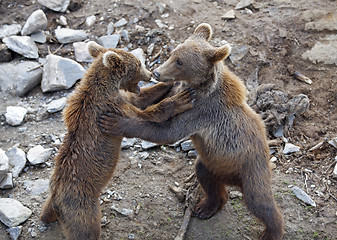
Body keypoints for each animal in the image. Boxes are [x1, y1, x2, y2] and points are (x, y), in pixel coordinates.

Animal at [39, 41, 193, 240]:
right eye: (139, 63)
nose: (150, 73)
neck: (107, 87)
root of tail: (58, 202)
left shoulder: (121, 97)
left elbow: (141, 97)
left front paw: (169, 83)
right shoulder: (110, 106)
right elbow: (144, 115)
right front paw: (181, 99)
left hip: (52, 198)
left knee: (45, 211)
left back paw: (46, 216)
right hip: (81, 209)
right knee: (87, 229)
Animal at [99, 23, 284, 240]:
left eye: (180, 62)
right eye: (172, 54)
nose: (157, 72)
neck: (200, 87)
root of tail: (233, 180)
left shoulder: (202, 111)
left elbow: (167, 131)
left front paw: (114, 121)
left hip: (250, 167)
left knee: (259, 201)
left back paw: (272, 230)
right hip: (214, 162)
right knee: (206, 177)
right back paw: (206, 207)